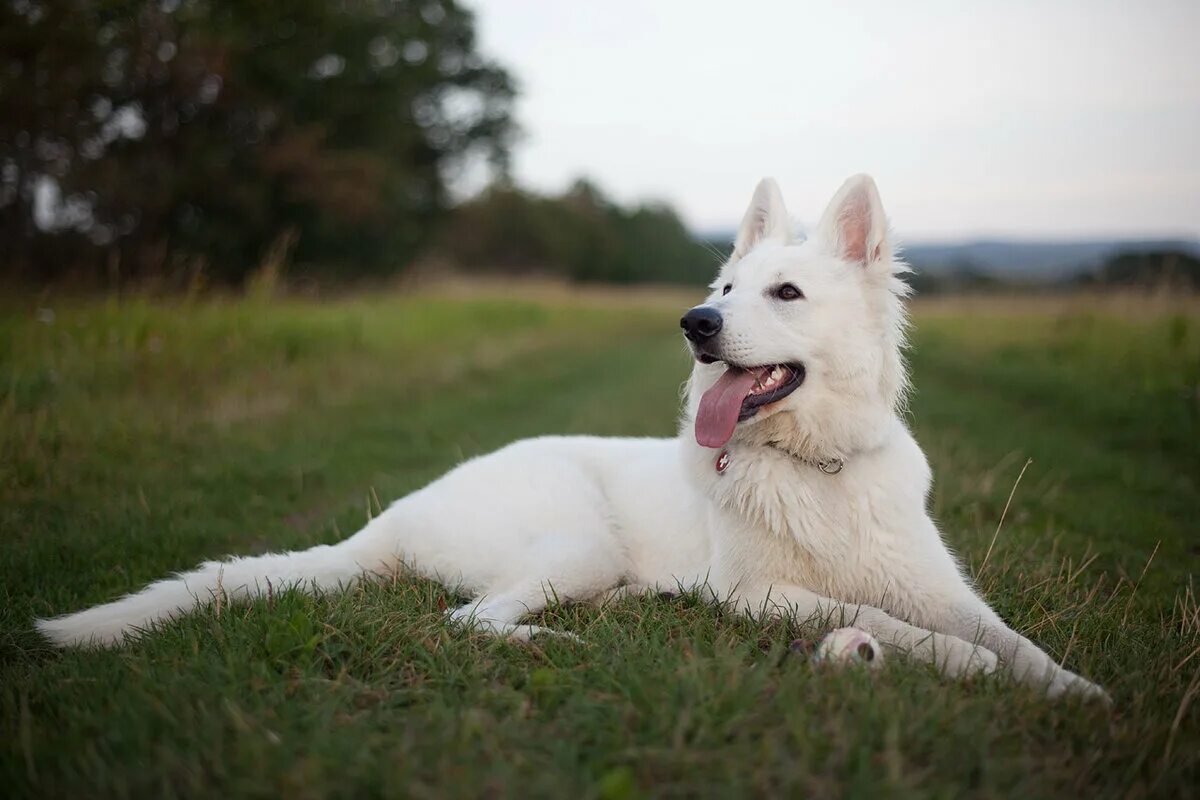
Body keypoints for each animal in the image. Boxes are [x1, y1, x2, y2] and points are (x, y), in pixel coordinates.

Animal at [35, 175, 1104, 700]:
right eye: (724, 290)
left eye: (784, 294)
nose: (696, 324)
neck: (818, 467)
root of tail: (395, 516)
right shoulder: (761, 595)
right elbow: (891, 623)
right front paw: (959, 668)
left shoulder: (942, 584)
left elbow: (1006, 633)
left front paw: (1073, 688)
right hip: (577, 542)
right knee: (468, 621)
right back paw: (551, 641)